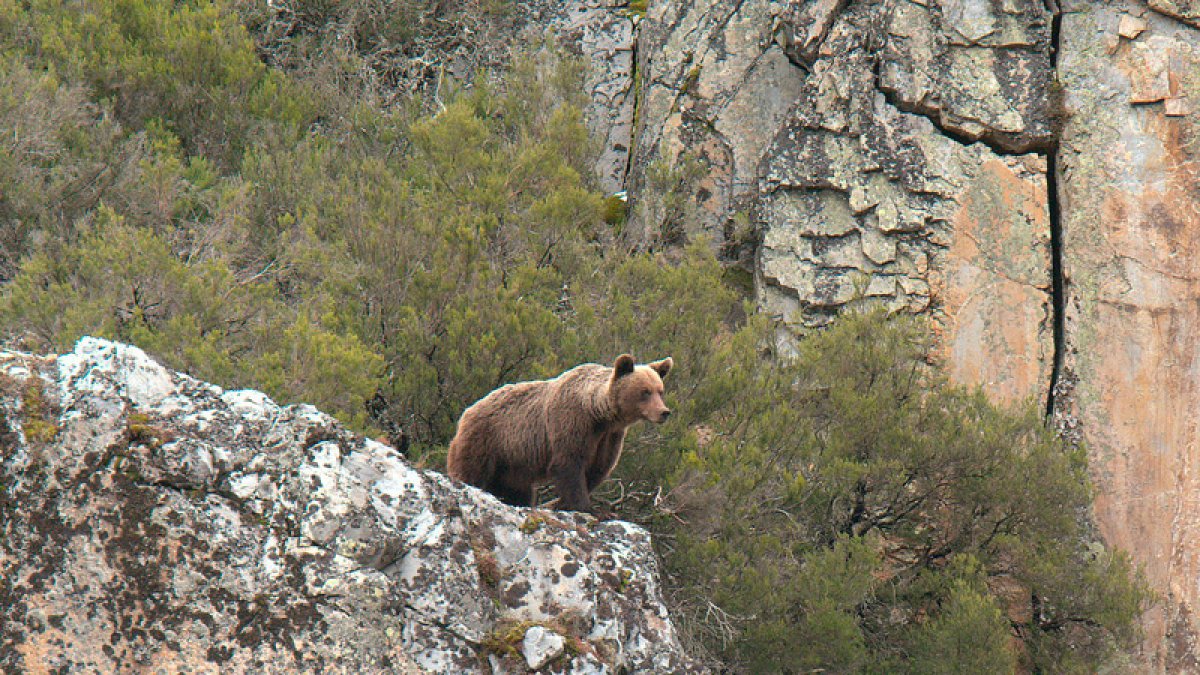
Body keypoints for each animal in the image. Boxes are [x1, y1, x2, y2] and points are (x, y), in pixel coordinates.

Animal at [446, 354, 673, 512]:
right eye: (645, 391)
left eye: (660, 390)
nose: (664, 412)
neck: (599, 414)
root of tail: (466, 412)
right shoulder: (571, 422)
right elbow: (569, 464)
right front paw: (586, 506)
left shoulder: (609, 437)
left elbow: (598, 469)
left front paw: (565, 503)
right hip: (487, 441)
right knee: (471, 472)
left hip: (512, 464)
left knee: (517, 491)